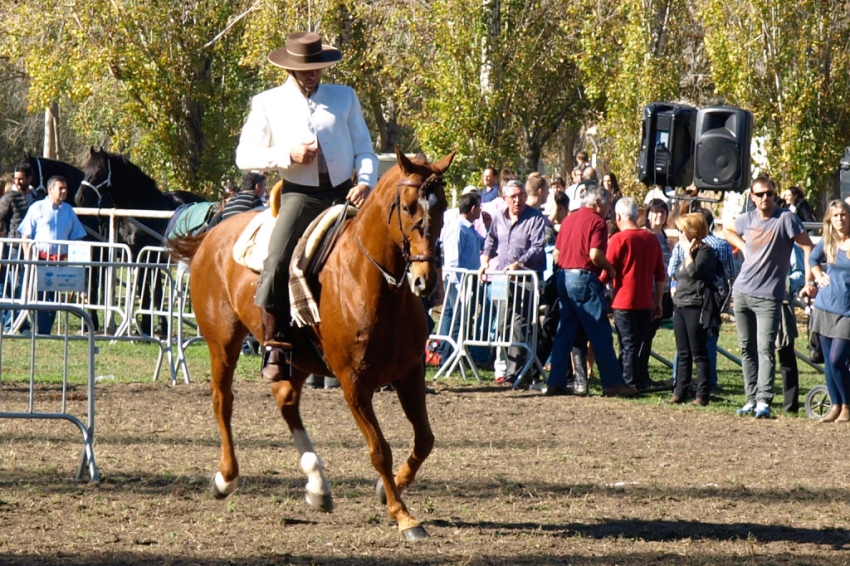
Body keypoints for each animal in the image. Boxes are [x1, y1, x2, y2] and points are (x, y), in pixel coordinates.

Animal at [76, 149, 205, 340]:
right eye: (85, 169)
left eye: (99, 171)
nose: (80, 198)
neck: (143, 209)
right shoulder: (135, 254)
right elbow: (143, 289)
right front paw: (146, 328)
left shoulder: (149, 255)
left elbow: (151, 292)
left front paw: (150, 327)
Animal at [168, 150, 454, 540]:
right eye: (409, 207)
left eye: (442, 207)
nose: (426, 281)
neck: (371, 281)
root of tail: (213, 234)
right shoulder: (354, 384)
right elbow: (379, 449)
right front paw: (404, 515)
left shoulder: (409, 373)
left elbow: (425, 439)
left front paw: (388, 490)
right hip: (223, 342)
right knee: (222, 401)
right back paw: (226, 478)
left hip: (298, 357)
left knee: (286, 401)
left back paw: (318, 485)